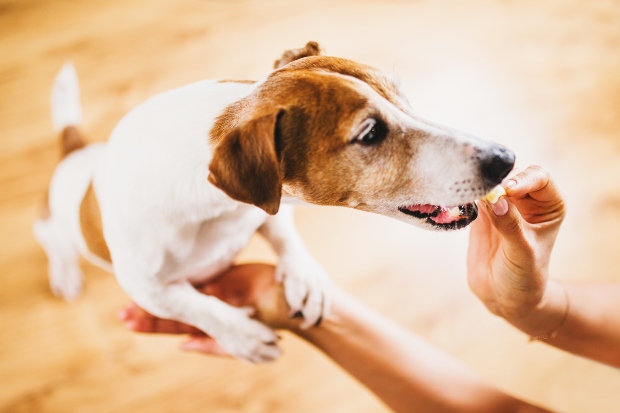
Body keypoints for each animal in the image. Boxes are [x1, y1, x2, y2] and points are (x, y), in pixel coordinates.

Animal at [36, 43, 516, 362]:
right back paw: (64, 272)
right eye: (370, 133)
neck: (216, 210)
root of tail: (76, 152)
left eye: (403, 96)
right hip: (54, 225)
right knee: (51, 240)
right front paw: (241, 335)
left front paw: (305, 278)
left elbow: (284, 233)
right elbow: (193, 304)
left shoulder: (264, 207)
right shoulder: (144, 286)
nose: (505, 158)